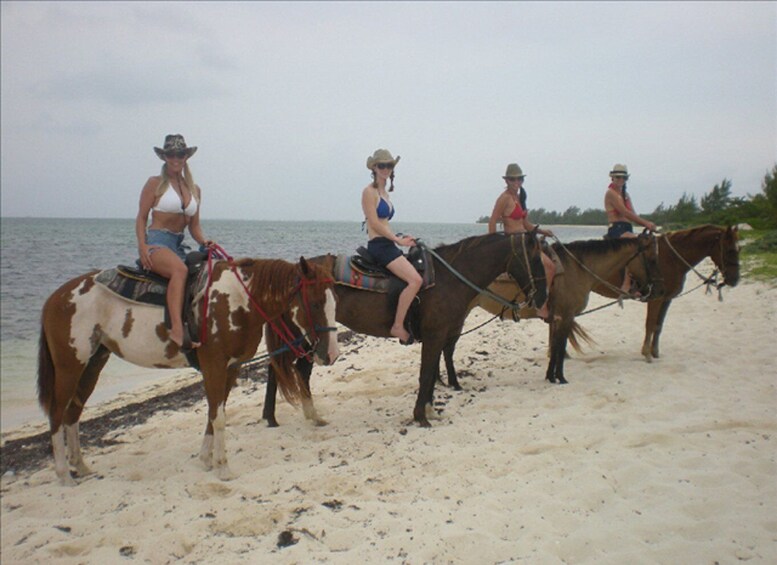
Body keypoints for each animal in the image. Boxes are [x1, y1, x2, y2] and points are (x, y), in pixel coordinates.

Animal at [38, 256, 336, 484]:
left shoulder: (231, 367)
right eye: (315, 303)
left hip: (93, 363)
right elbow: (219, 417)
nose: (331, 354)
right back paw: (64, 474)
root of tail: (55, 298)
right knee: (57, 413)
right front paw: (223, 467)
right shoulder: (214, 366)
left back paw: (81, 466)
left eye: (334, 302)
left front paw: (206, 459)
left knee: (73, 412)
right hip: (69, 366)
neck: (238, 300)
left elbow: (214, 412)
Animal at [260, 231, 544, 426]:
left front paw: (429, 410)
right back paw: (297, 416)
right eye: (535, 259)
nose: (541, 297)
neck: (448, 278)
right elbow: (426, 374)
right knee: (289, 369)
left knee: (286, 369)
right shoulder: (435, 336)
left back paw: (283, 417)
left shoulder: (439, 337)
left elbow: (431, 373)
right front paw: (421, 416)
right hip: (305, 332)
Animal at [596, 223, 740, 360]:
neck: (671, 259)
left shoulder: (666, 299)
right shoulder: (655, 298)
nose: (735, 280)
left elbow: (658, 326)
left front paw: (655, 352)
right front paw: (646, 353)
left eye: (740, 249)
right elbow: (650, 324)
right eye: (730, 250)